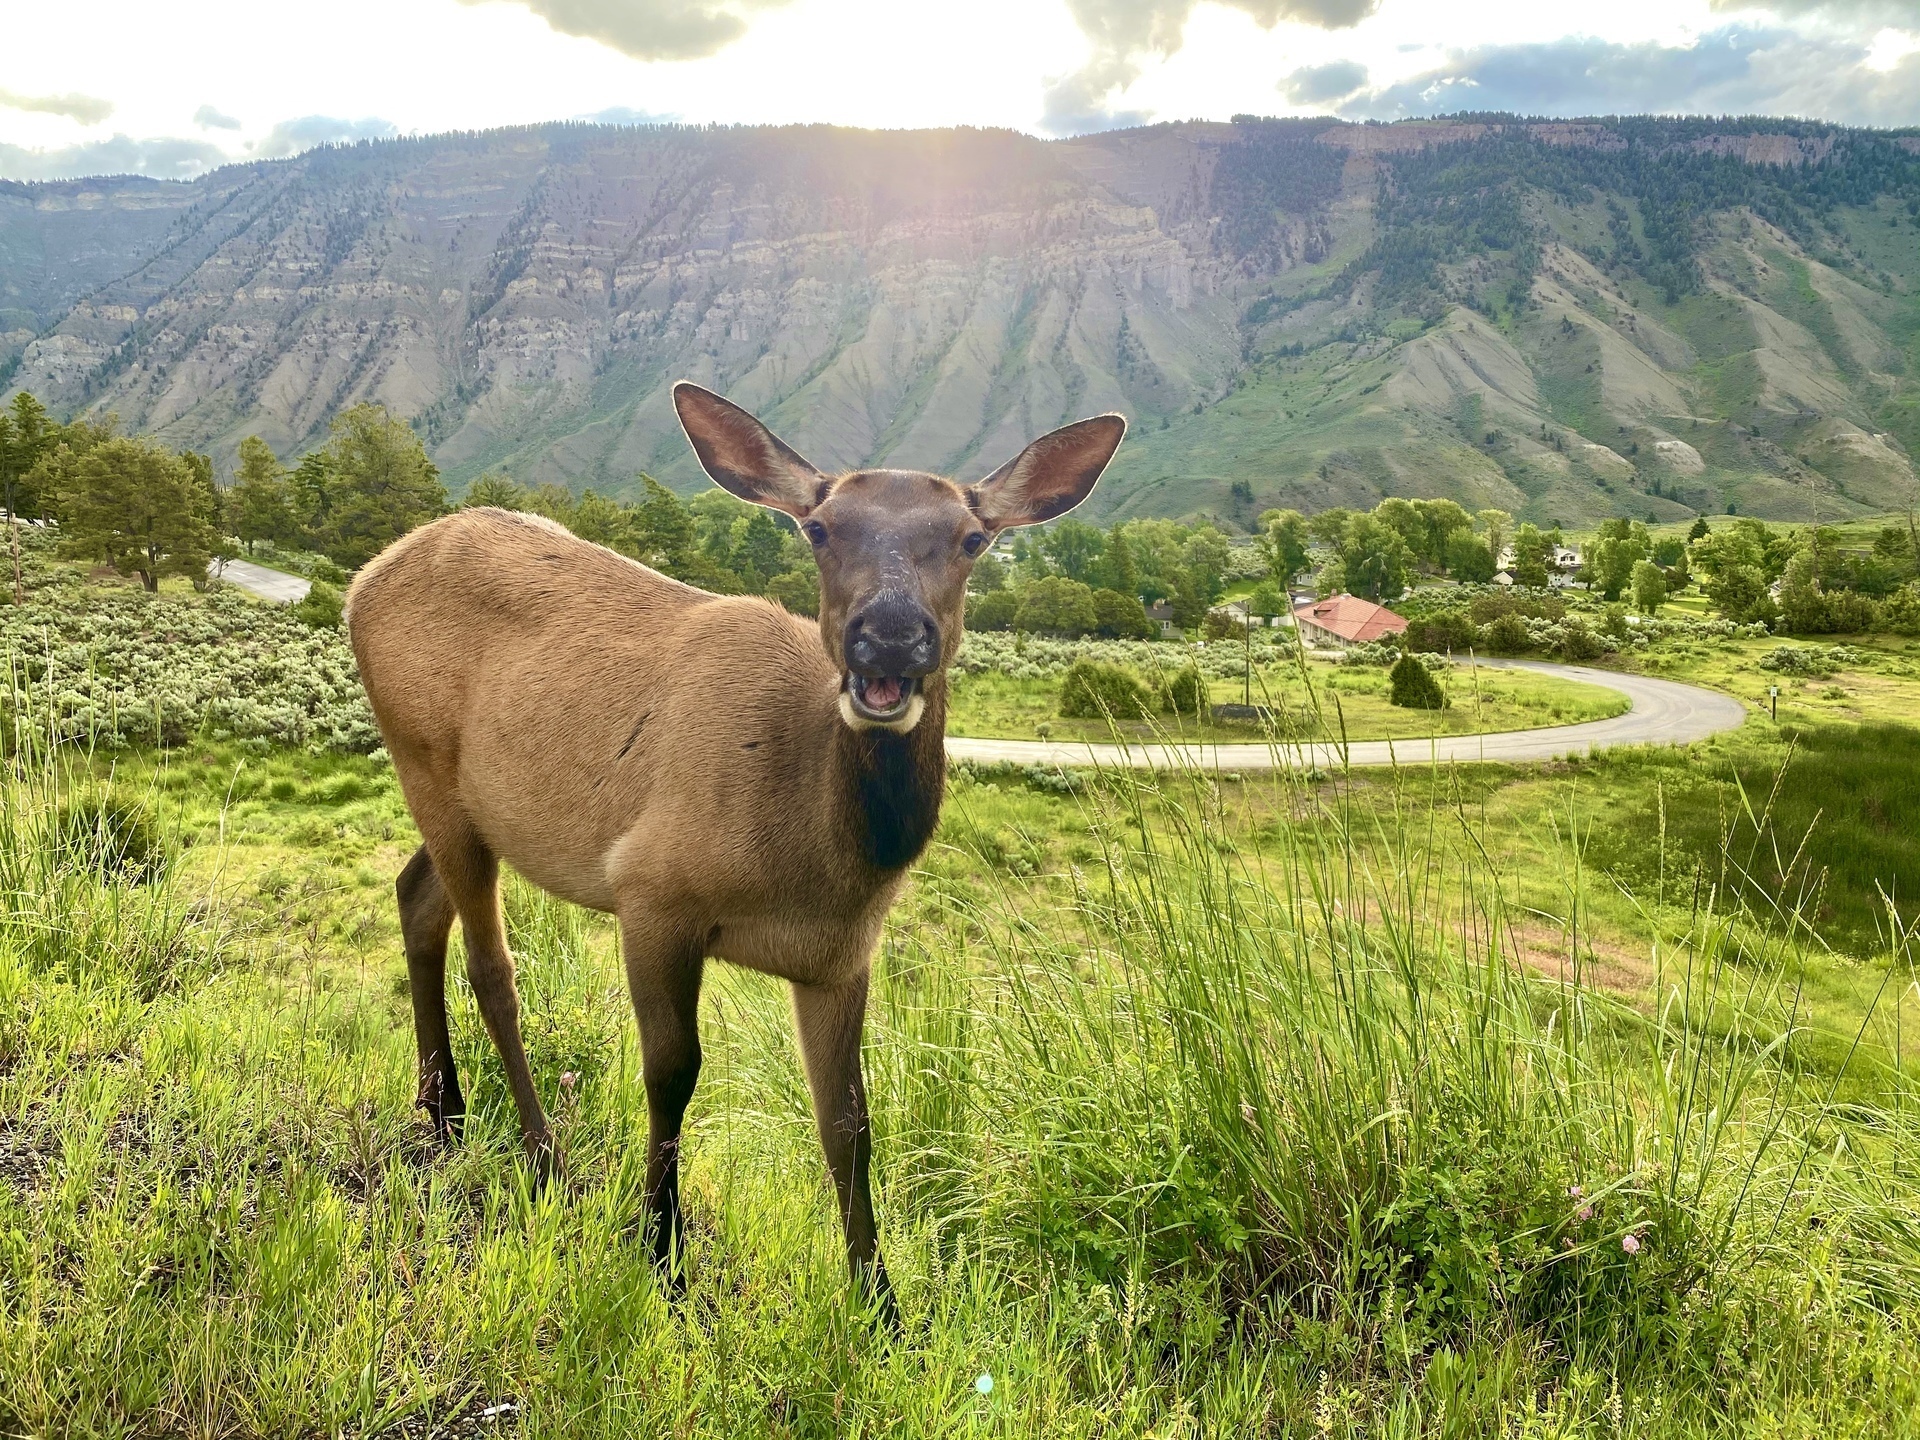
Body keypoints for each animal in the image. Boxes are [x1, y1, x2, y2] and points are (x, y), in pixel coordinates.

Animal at [349, 384, 1121, 1320]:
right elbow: (671, 1074)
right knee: (491, 966)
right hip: (423, 759)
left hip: (471, 806)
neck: (815, 863)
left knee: (415, 895)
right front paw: (660, 1251)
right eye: (820, 527)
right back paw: (540, 1154)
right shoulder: (652, 891)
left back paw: (444, 1109)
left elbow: (850, 1121)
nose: (889, 635)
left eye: (973, 537)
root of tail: (361, 581)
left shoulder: (840, 957)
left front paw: (880, 1302)